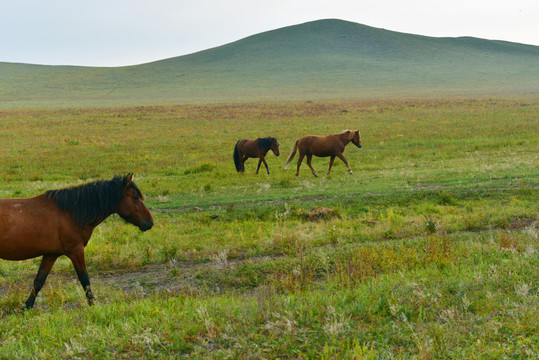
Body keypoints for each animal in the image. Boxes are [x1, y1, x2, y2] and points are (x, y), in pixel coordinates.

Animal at [0, 173, 153, 308]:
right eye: (135, 197)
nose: (150, 222)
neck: (70, 213)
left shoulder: (51, 254)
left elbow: (39, 281)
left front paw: (27, 306)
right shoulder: (76, 251)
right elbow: (84, 279)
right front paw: (93, 305)